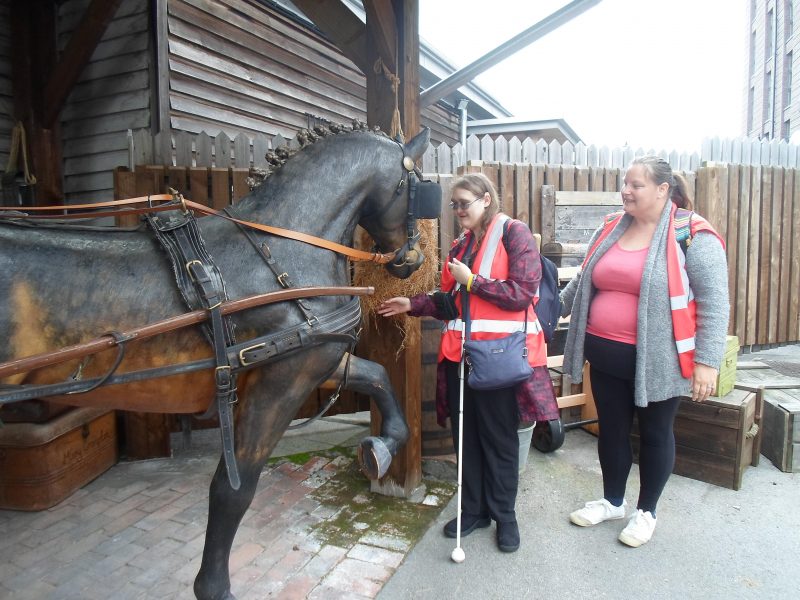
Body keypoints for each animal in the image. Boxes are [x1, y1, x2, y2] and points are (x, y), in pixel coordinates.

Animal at [0, 125, 434, 596]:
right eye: (421, 187)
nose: (415, 259)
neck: (282, 245)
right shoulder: (280, 380)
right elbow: (232, 489)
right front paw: (213, 587)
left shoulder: (307, 354)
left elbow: (377, 376)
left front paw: (381, 448)